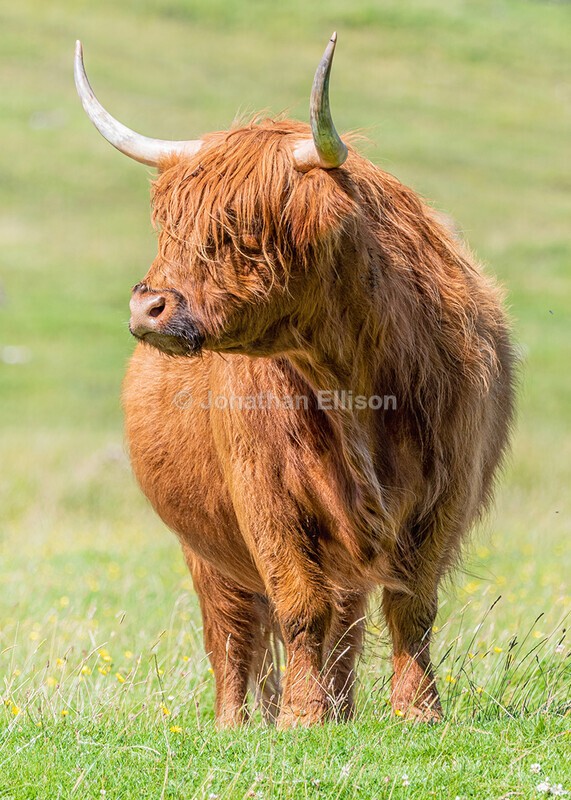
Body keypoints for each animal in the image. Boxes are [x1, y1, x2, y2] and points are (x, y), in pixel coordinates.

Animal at [74, 35, 515, 728]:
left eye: (242, 228)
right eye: (168, 225)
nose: (148, 308)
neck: (353, 379)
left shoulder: (446, 488)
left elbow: (411, 608)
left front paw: (416, 712)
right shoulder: (266, 495)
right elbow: (299, 606)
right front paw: (300, 719)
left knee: (344, 624)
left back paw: (343, 710)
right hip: (205, 546)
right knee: (233, 632)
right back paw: (236, 723)